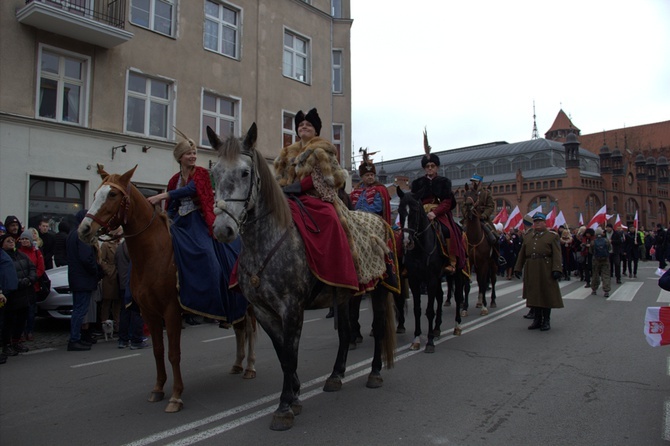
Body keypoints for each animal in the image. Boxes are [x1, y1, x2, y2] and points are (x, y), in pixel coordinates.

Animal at [77, 166, 258, 412]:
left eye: (112, 195)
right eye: (95, 193)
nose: (84, 229)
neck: (153, 254)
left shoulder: (171, 311)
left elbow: (173, 353)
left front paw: (176, 396)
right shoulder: (149, 313)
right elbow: (157, 351)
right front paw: (158, 389)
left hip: (249, 303)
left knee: (250, 330)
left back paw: (249, 367)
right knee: (240, 329)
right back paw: (237, 364)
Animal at [462, 185, 498, 314]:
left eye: (475, 194)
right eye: (465, 194)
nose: (468, 205)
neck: (474, 239)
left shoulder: (484, 263)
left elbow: (483, 283)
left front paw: (484, 306)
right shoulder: (469, 263)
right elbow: (467, 285)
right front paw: (464, 307)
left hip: (493, 264)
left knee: (492, 280)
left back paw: (492, 301)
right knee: (478, 279)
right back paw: (478, 301)